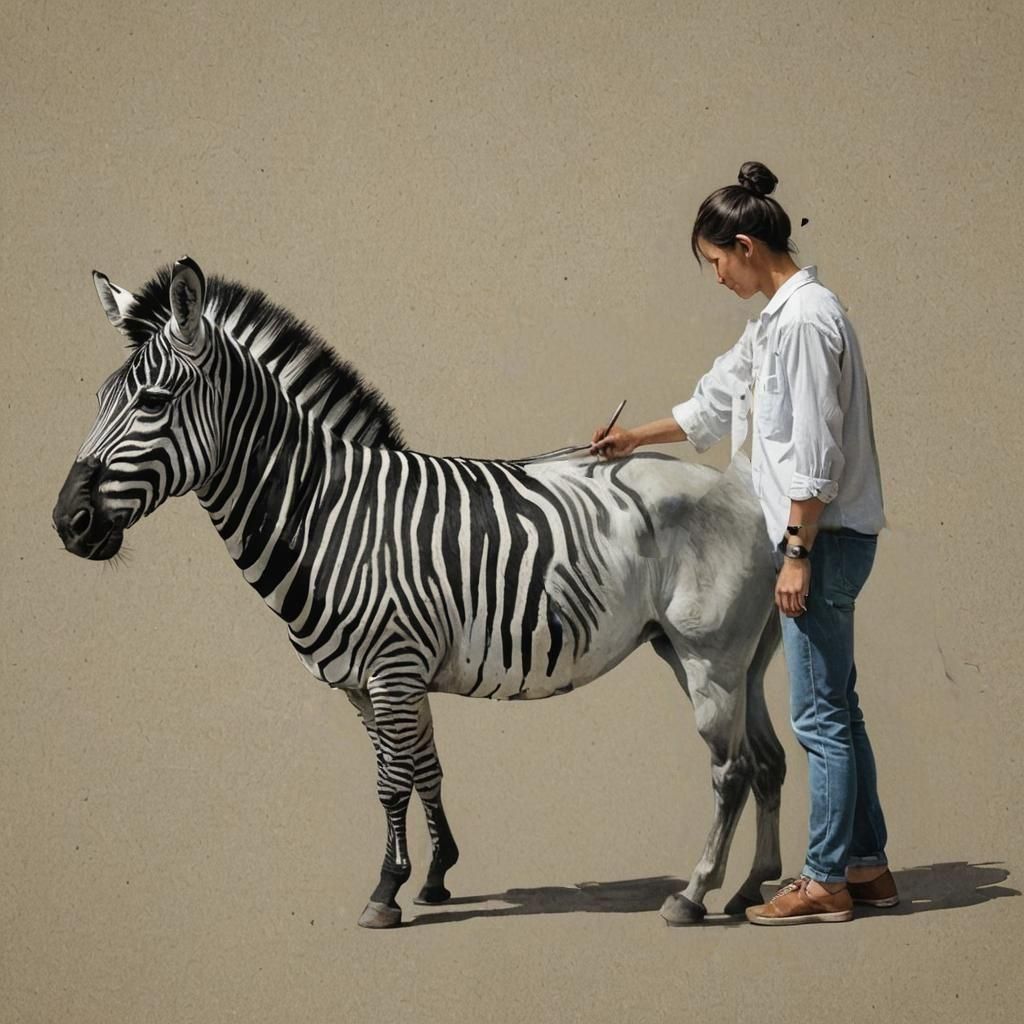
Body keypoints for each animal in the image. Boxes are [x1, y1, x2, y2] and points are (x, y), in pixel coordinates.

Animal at [53, 256, 787, 928]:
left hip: (707, 655)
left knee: (730, 771)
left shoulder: (393, 668)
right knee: (769, 761)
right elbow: (423, 769)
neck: (328, 515)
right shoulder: (375, 680)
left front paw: (385, 892)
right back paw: (753, 890)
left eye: (151, 402)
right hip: (731, 655)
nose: (67, 523)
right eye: (99, 398)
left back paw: (694, 895)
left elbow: (390, 782)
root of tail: (744, 486)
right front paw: (434, 877)